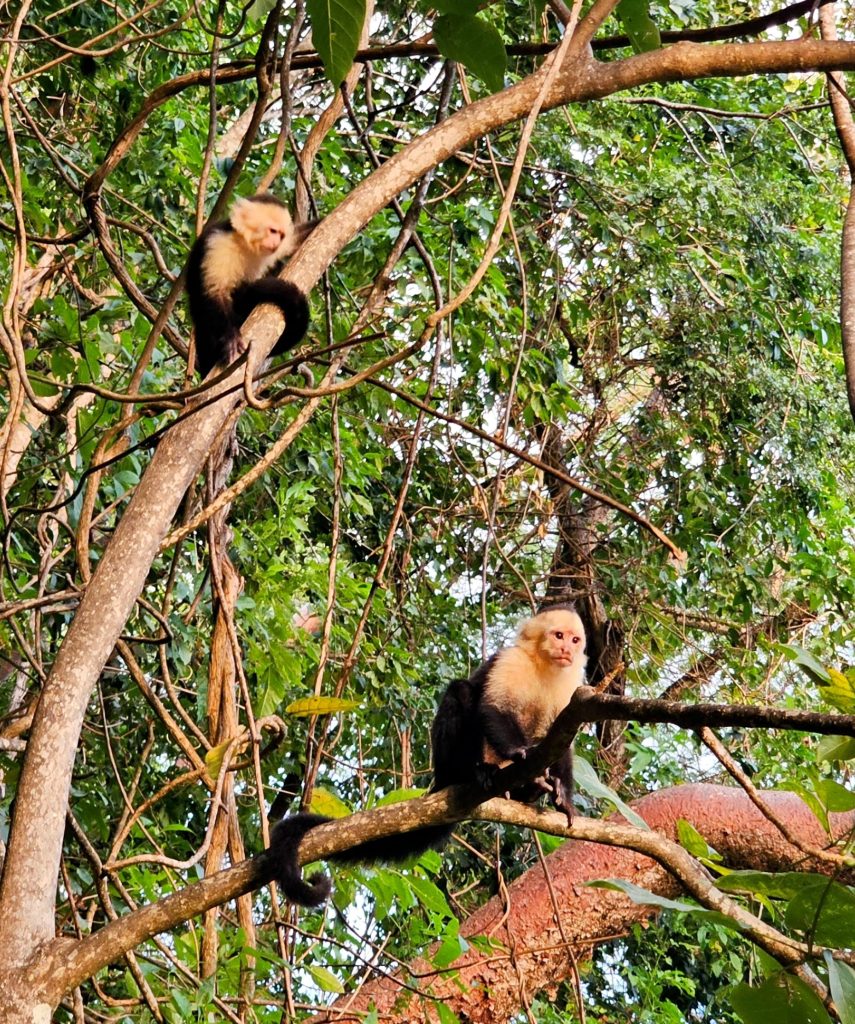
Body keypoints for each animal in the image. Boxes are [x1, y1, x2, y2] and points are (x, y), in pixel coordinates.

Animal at [184, 193, 317, 378]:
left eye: (282, 235)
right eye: (272, 231)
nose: (276, 243)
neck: (245, 245)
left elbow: (296, 240)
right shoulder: (218, 244)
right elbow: (216, 291)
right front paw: (230, 337)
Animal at [268, 602, 589, 909]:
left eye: (575, 640)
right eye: (558, 635)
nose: (567, 650)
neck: (545, 668)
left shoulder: (573, 685)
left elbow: (563, 741)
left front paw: (563, 794)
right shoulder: (511, 661)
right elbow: (492, 708)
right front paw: (518, 752)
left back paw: (531, 788)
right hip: (448, 763)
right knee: (462, 692)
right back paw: (478, 771)